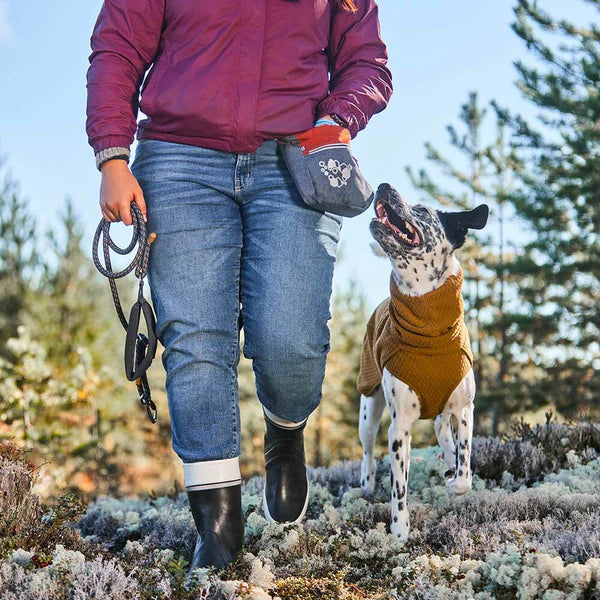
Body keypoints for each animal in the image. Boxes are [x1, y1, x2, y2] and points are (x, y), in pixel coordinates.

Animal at [356, 183, 488, 544]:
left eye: (423, 210)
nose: (384, 185)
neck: (428, 325)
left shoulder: (465, 409)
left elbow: (464, 474)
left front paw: (453, 475)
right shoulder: (399, 428)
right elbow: (399, 489)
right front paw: (399, 531)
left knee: (443, 429)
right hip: (368, 407)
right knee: (367, 452)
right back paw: (366, 485)